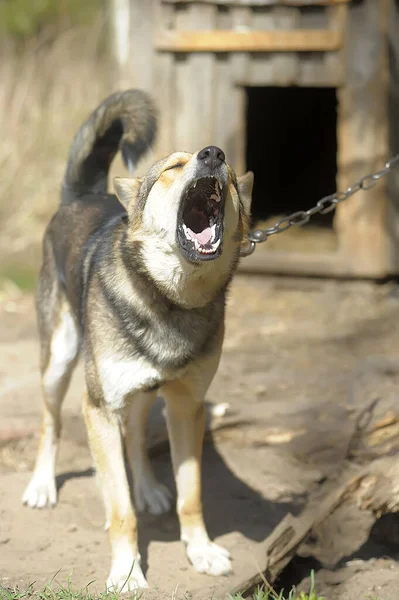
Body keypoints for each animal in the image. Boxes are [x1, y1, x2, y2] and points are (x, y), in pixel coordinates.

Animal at [21, 89, 253, 592]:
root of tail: (84, 195)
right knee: (51, 424)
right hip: (59, 362)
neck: (170, 299)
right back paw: (42, 486)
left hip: (145, 390)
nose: (214, 154)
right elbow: (120, 510)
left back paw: (146, 486)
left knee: (136, 435)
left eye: (229, 177)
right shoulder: (98, 407)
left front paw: (201, 551)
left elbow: (192, 495)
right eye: (173, 166)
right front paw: (127, 573)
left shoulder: (187, 406)